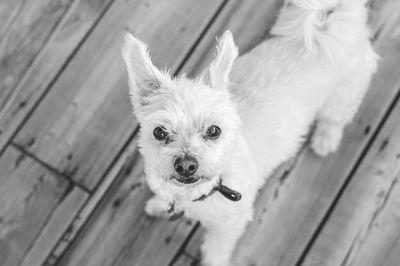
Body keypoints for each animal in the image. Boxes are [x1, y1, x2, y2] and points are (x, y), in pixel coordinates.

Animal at [122, 0, 378, 264]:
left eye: (214, 131)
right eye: (159, 132)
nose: (185, 165)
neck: (195, 193)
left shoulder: (229, 225)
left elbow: (215, 249)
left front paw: (213, 261)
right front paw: (158, 205)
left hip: (342, 96)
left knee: (335, 119)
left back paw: (325, 140)